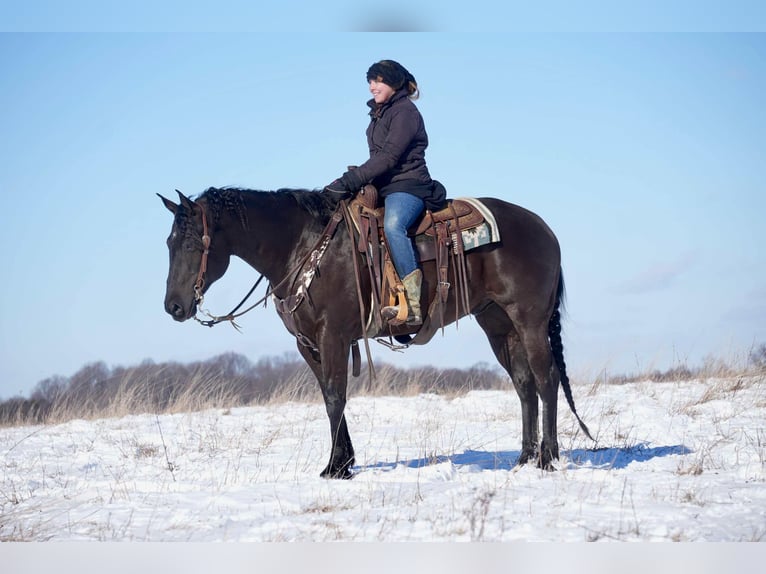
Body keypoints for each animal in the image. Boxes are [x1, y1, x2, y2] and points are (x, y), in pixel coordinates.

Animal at [160, 189, 592, 482]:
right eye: (169, 242)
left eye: (192, 241)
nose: (174, 307)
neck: (303, 246)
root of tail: (543, 229)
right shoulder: (307, 344)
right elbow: (328, 397)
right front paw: (342, 463)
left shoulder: (332, 335)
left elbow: (336, 397)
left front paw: (337, 469)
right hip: (498, 324)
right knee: (523, 384)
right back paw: (524, 459)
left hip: (530, 321)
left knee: (546, 378)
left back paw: (548, 458)